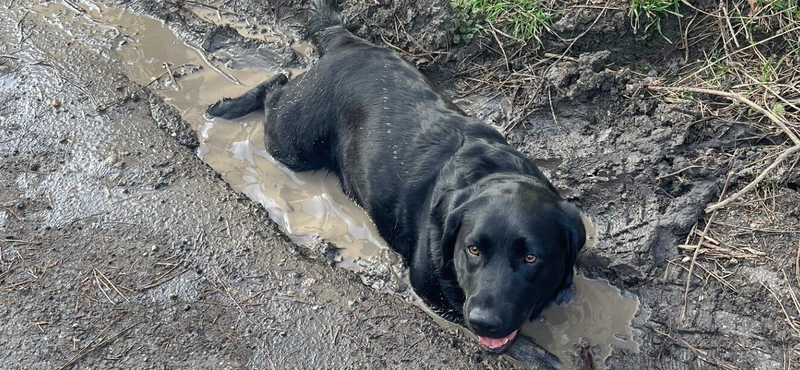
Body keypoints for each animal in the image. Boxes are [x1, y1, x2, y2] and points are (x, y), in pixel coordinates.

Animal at [209, 0, 584, 352]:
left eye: (531, 258)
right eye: (473, 249)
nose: (484, 322)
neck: (491, 172)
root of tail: (347, 41)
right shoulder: (433, 294)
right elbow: (524, 346)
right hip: (293, 141)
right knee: (278, 86)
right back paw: (230, 104)